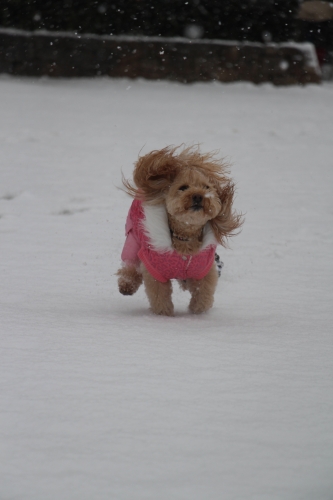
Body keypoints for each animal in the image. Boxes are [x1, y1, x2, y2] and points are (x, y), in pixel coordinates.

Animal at [116, 146, 241, 316]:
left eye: (206, 187)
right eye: (183, 188)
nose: (198, 196)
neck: (185, 238)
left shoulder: (205, 270)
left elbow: (203, 294)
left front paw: (197, 310)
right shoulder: (154, 270)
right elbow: (159, 295)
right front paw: (165, 314)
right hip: (133, 238)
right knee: (130, 263)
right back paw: (127, 284)